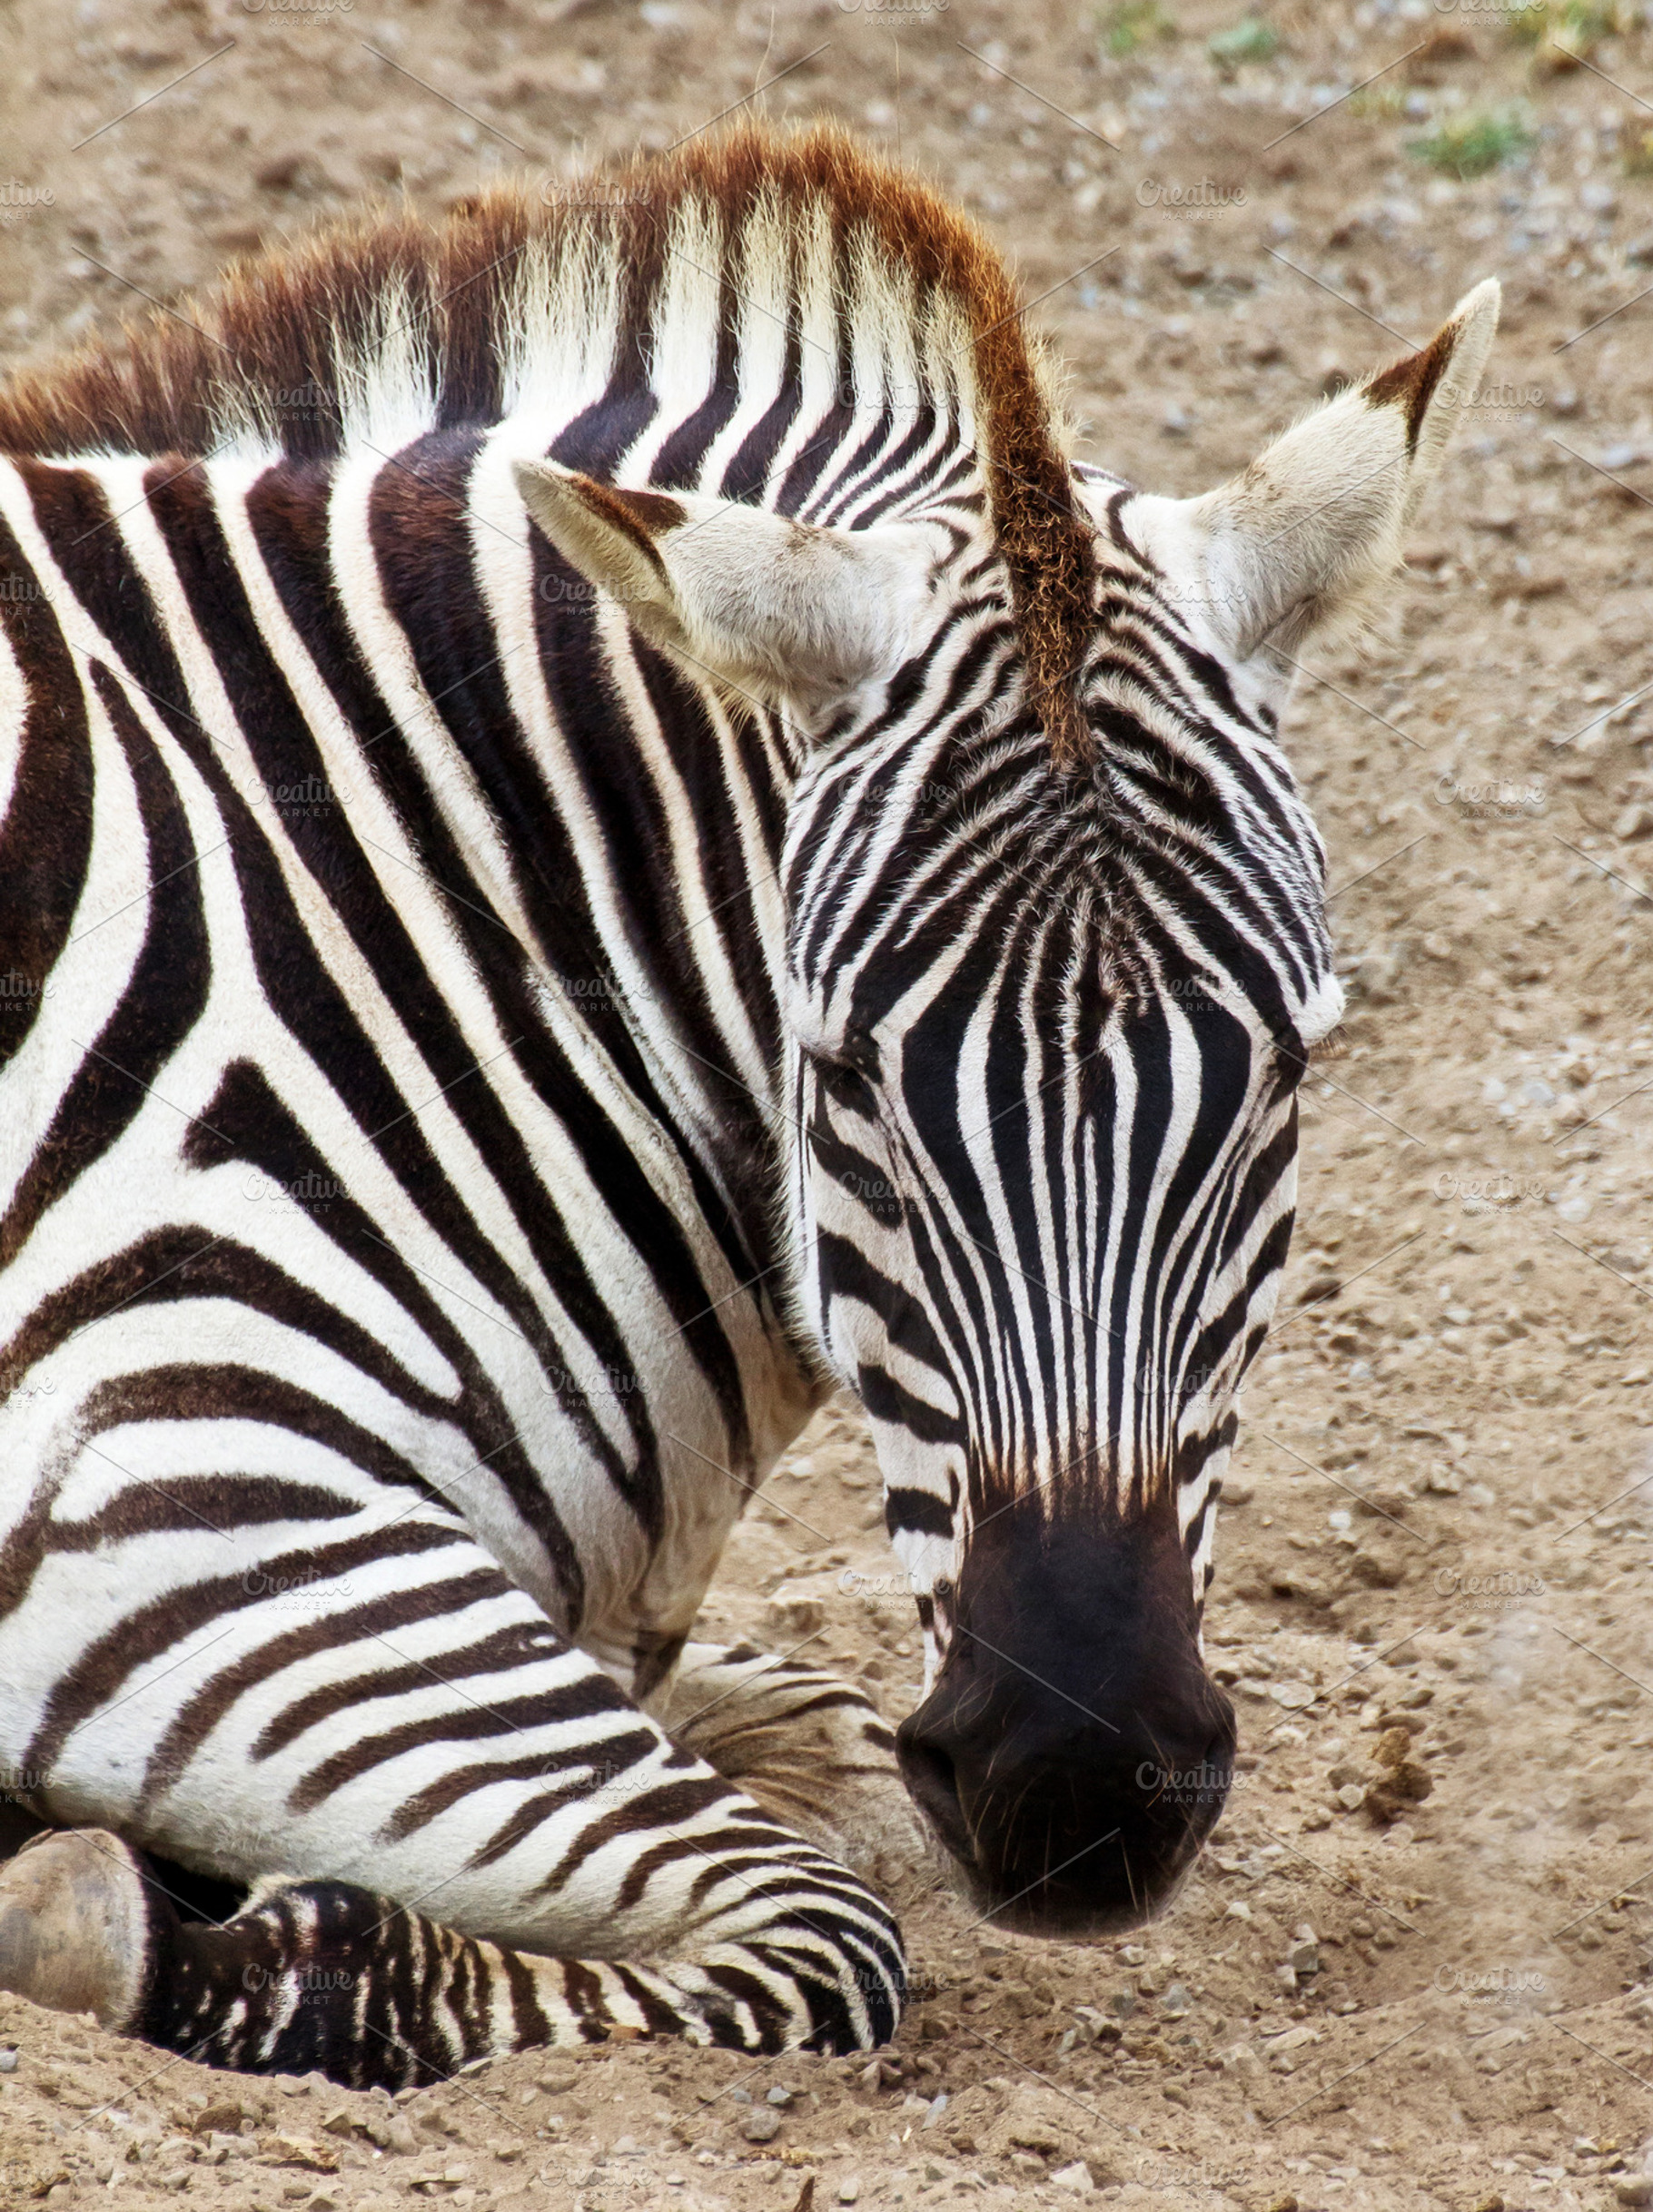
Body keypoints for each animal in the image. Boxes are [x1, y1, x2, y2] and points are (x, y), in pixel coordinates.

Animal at [0, 125, 1497, 2087]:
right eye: (845, 1075)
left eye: (1287, 1067)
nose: (1079, 1788)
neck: (404, 906)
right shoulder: (160, 1483)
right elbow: (824, 1927)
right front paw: (117, 1923)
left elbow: (837, 1747)